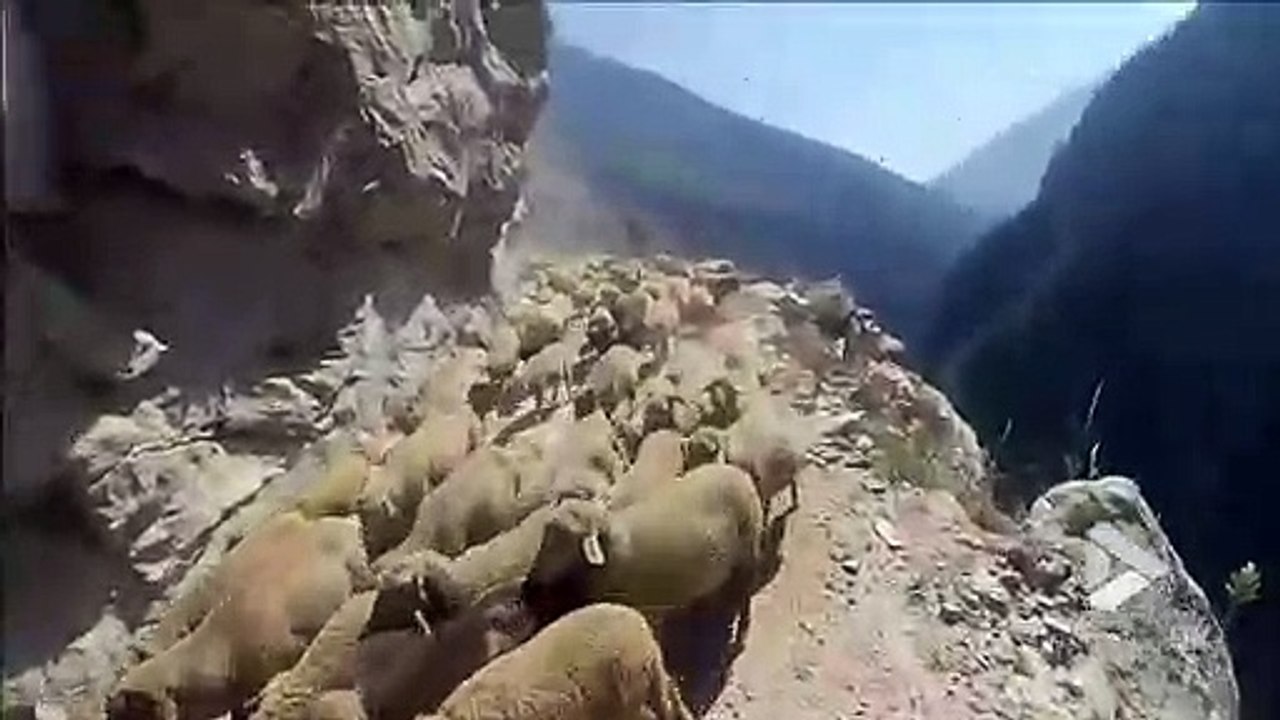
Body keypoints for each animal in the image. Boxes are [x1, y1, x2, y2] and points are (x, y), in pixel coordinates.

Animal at [521, 463, 764, 652]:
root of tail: (737, 472)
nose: (527, 589)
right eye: (546, 533)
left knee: (745, 597)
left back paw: (738, 636)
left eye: (564, 543)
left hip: (749, 552)